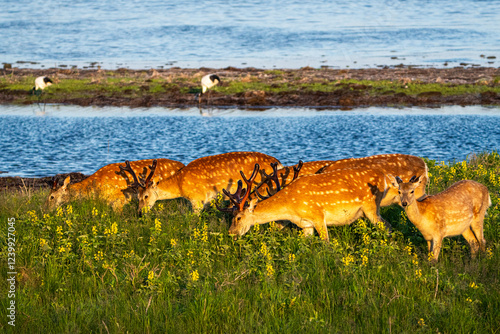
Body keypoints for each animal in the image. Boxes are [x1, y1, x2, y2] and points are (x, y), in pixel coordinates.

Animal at [121, 151, 284, 214]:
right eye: (137, 196)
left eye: (146, 196)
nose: (140, 213)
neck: (180, 184)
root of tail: (279, 163)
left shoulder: (197, 199)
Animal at [226, 164, 398, 240]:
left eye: (238, 218)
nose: (231, 232)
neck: (290, 207)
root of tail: (385, 176)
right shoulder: (306, 225)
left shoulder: (317, 216)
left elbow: (326, 243)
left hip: (371, 206)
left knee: (388, 226)